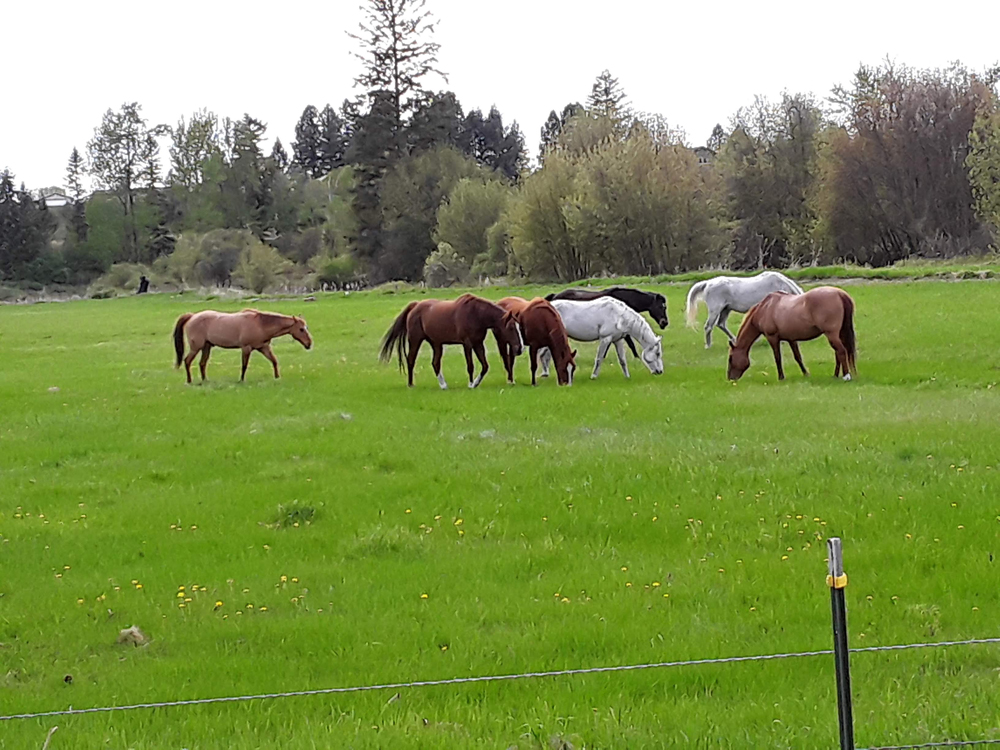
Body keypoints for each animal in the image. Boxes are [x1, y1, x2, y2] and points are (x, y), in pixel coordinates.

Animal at [173, 308, 312, 384]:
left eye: (306, 327)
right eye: (301, 329)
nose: (309, 344)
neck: (261, 324)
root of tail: (192, 316)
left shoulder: (263, 348)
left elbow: (274, 361)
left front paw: (277, 377)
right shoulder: (246, 348)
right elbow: (244, 365)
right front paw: (241, 380)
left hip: (206, 347)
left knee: (202, 363)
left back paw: (204, 380)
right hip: (196, 347)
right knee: (187, 361)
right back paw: (189, 381)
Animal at [378, 294, 528, 390]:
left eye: (519, 327)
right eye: (510, 328)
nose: (519, 348)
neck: (476, 314)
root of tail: (415, 306)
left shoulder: (478, 344)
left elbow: (485, 366)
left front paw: (476, 383)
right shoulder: (467, 344)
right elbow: (470, 365)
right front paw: (470, 384)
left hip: (436, 344)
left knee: (435, 363)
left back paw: (443, 385)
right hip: (415, 340)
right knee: (411, 360)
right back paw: (410, 384)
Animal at [728, 286, 860, 384]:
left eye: (730, 358)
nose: (730, 378)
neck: (765, 308)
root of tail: (839, 293)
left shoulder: (772, 338)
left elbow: (778, 358)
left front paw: (781, 377)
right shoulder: (791, 339)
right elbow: (798, 357)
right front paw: (806, 374)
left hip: (831, 334)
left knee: (841, 351)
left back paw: (846, 376)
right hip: (839, 333)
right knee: (838, 352)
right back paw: (836, 375)